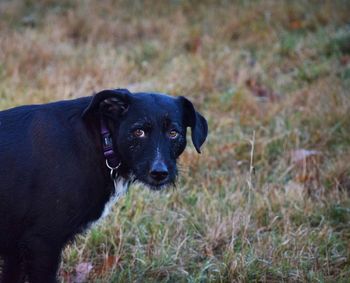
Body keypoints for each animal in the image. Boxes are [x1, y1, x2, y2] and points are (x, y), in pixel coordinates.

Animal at [0, 89, 208, 283]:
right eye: (138, 132)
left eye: (173, 133)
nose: (159, 173)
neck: (102, 140)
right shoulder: (42, 243)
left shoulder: (15, 249)